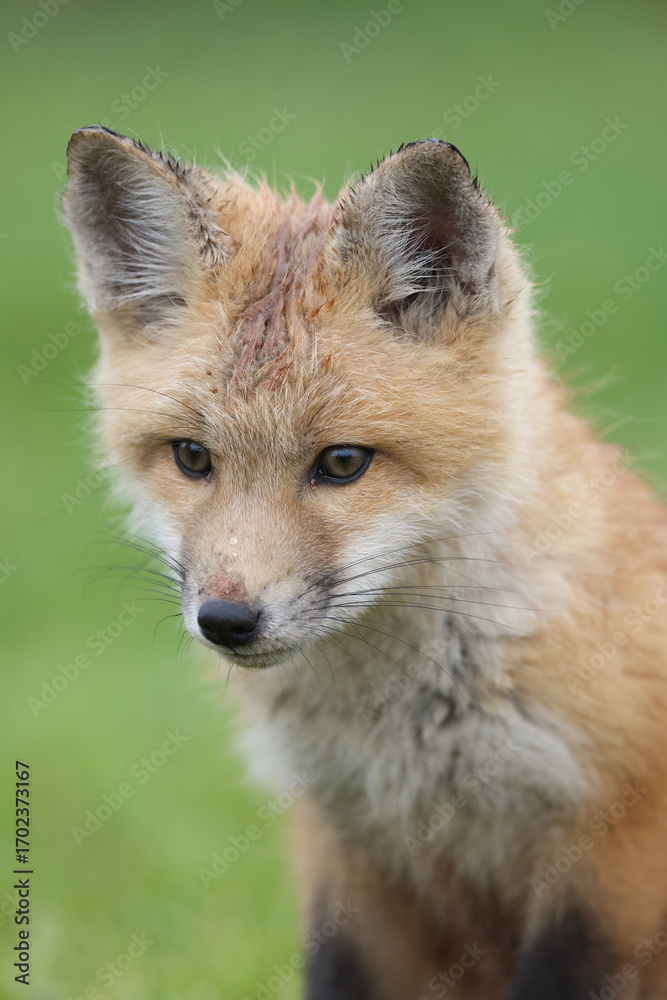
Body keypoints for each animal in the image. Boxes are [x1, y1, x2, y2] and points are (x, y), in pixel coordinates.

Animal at [63, 125, 667, 999]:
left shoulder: (609, 854)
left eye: (342, 463)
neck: (403, 739)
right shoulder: (344, 843)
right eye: (191, 457)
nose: (227, 620)